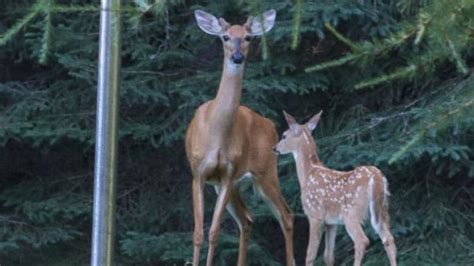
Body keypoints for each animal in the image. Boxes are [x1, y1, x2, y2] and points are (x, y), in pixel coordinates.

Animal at [184, 8, 292, 266]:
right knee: (247, 219)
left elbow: (214, 233)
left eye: (248, 37)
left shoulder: (227, 173)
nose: (237, 57)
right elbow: (198, 233)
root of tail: (270, 125)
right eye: (225, 37)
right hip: (236, 185)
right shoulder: (199, 173)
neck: (216, 133)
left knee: (286, 215)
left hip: (266, 172)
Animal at [274, 110, 396, 266]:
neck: (308, 173)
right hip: (382, 209)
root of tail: (376, 177)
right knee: (389, 238)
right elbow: (328, 255)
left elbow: (310, 254)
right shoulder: (331, 222)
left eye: (284, 135)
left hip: (351, 212)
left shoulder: (314, 214)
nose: (274, 148)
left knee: (362, 240)